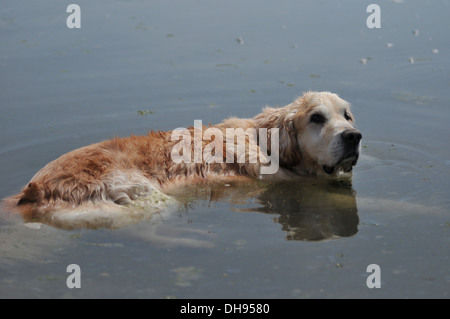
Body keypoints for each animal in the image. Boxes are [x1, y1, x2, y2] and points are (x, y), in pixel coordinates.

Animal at [3, 91, 362, 219]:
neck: (267, 145)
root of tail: (32, 190)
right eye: (316, 118)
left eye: (347, 116)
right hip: (144, 195)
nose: (354, 136)